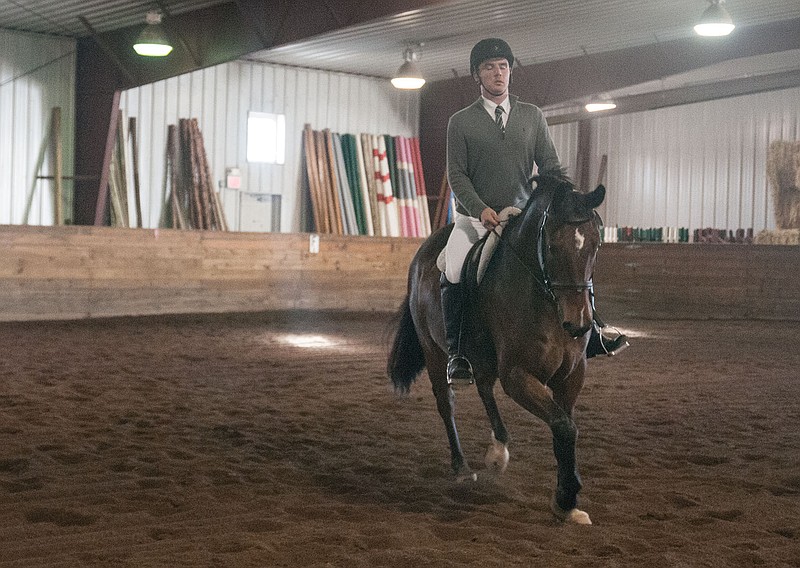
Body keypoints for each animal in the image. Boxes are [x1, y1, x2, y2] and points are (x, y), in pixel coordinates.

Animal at [390, 174, 608, 524]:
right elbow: (563, 426)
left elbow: (566, 428)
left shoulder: (572, 376)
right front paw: (566, 497)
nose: (578, 324)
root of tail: (423, 252)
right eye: (551, 246)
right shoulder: (517, 375)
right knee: (447, 403)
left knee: (483, 387)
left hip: (483, 357)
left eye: (596, 245)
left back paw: (498, 448)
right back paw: (462, 468)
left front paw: (568, 503)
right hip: (434, 351)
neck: (544, 298)